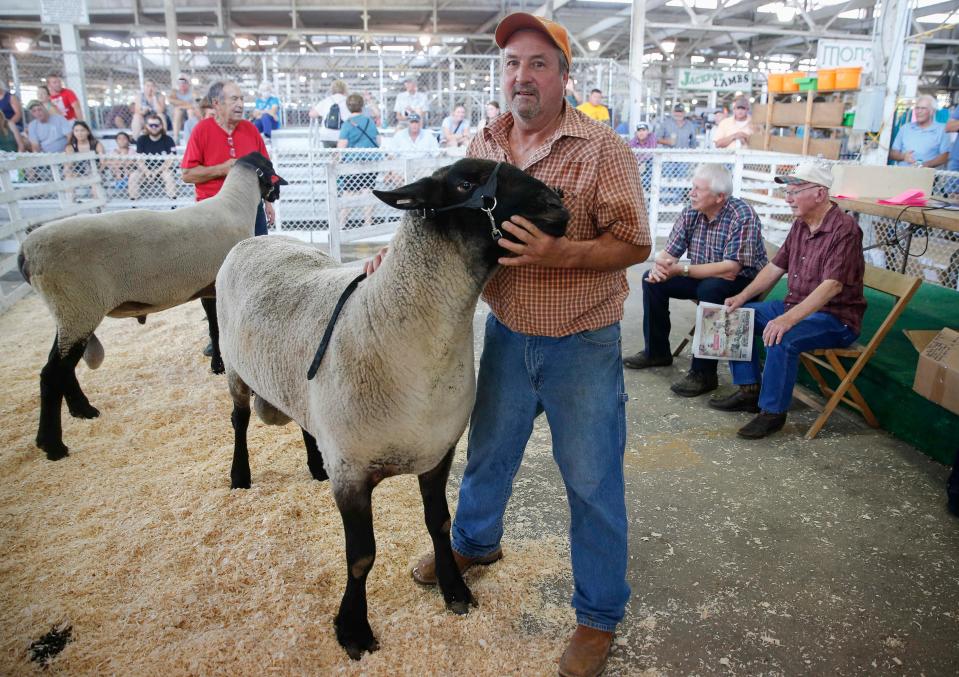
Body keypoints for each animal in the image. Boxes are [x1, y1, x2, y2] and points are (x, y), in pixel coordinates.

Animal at [17, 153, 288, 460]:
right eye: (270, 169)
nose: (277, 194)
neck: (234, 205)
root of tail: (25, 253)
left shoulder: (208, 287)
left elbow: (214, 328)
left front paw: (217, 366)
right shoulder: (220, 285)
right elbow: (218, 328)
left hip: (68, 311)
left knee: (63, 368)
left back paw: (83, 411)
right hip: (77, 305)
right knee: (52, 374)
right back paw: (53, 445)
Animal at [216, 157, 568, 656]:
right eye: (464, 182)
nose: (558, 204)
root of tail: (257, 237)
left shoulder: (437, 452)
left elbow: (439, 524)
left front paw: (455, 591)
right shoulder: (352, 473)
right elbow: (361, 557)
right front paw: (354, 630)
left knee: (304, 420)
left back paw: (314, 465)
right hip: (233, 368)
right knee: (239, 419)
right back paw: (240, 475)